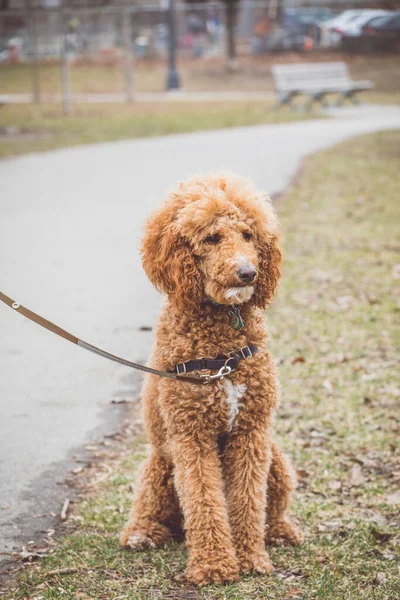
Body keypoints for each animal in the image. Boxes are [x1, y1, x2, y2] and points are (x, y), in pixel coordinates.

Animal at [120, 171, 302, 584]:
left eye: (249, 234)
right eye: (212, 238)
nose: (248, 272)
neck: (222, 348)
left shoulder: (251, 432)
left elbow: (248, 501)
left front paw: (251, 557)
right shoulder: (192, 436)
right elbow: (204, 501)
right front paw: (215, 564)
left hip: (276, 460)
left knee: (273, 507)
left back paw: (280, 531)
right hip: (160, 466)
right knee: (153, 510)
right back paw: (142, 533)